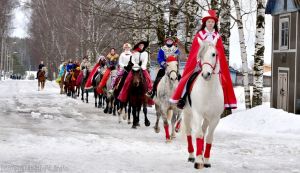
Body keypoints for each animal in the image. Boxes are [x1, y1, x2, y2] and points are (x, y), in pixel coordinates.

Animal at [183, 37, 225, 169]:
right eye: (200, 55)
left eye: (214, 54)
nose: (206, 74)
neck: (209, 90)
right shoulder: (197, 114)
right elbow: (199, 135)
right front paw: (198, 161)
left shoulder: (215, 118)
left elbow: (209, 138)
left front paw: (206, 160)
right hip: (187, 114)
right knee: (189, 132)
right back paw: (192, 155)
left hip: (206, 118)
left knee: (203, 129)